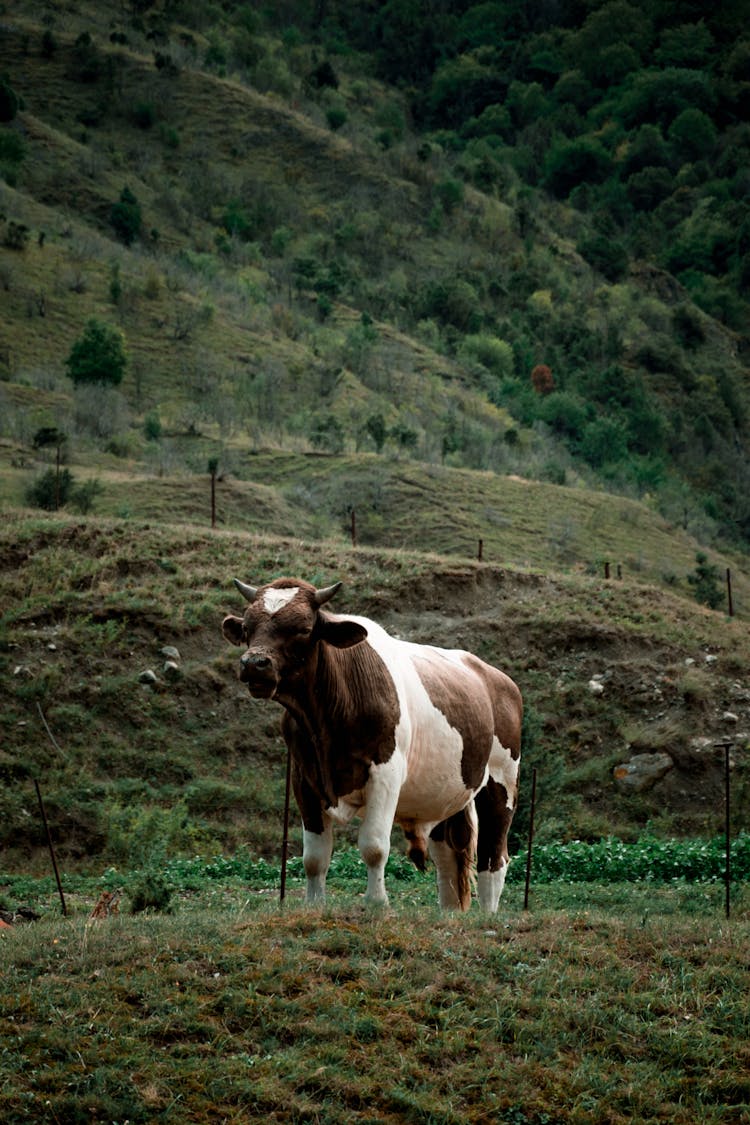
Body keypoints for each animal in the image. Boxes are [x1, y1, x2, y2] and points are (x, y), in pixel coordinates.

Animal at [222, 576, 521, 909]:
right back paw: (449, 914)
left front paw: (377, 904)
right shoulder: (303, 778)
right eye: (247, 627)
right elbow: (314, 857)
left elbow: (374, 846)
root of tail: (497, 677)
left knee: (494, 858)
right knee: (447, 859)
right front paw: (314, 906)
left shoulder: (385, 773)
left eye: (301, 628)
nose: (253, 663)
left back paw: (488, 913)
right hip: (445, 793)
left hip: (501, 783)